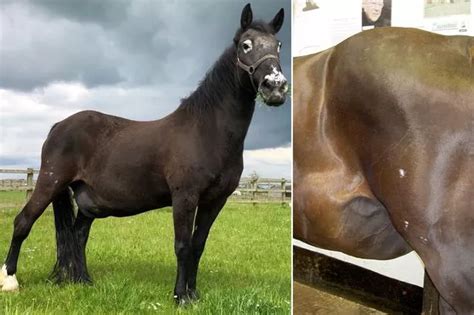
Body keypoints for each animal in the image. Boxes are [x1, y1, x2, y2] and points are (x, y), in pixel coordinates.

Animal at [0, 1, 286, 304]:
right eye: (246, 45)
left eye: (278, 45)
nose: (276, 86)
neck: (206, 131)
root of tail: (59, 125)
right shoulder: (185, 197)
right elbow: (182, 245)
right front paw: (180, 296)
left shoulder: (215, 200)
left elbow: (198, 245)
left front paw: (194, 294)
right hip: (50, 182)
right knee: (23, 222)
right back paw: (10, 280)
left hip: (86, 201)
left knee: (78, 236)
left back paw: (83, 281)